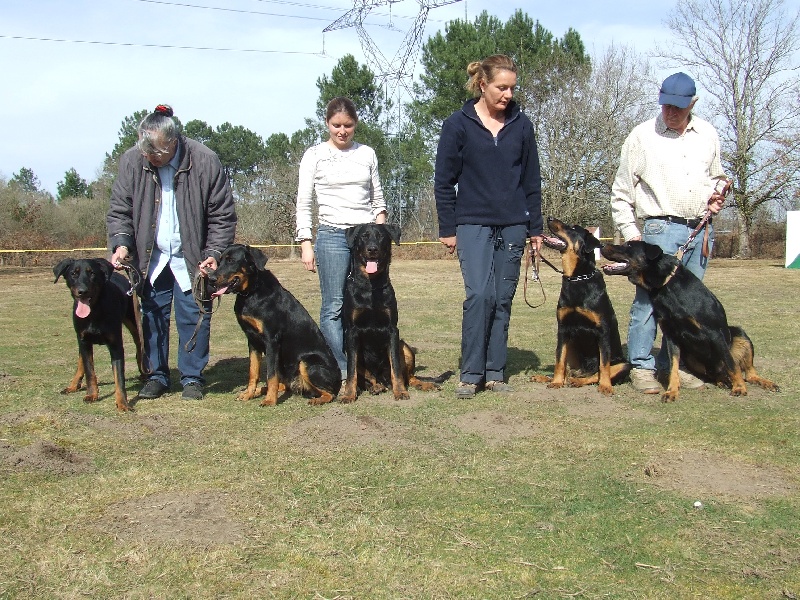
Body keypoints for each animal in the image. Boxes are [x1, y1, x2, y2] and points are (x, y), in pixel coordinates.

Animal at [53, 255, 145, 410]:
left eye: (92, 273)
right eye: (73, 274)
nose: (82, 291)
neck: (94, 312)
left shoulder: (115, 345)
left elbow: (119, 376)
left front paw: (123, 403)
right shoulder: (84, 340)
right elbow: (89, 371)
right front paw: (92, 394)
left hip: (133, 320)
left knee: (139, 344)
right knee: (81, 360)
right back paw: (73, 384)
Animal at [208, 245, 340, 408]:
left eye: (231, 260)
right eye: (219, 261)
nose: (211, 279)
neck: (251, 292)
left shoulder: (271, 340)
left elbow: (271, 374)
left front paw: (270, 400)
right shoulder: (252, 340)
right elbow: (253, 372)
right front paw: (249, 393)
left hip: (307, 362)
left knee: (330, 393)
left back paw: (317, 399)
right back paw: (260, 390)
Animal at [340, 225, 438, 404]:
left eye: (381, 237)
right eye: (364, 236)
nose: (372, 249)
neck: (371, 287)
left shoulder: (392, 330)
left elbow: (396, 368)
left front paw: (400, 392)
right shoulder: (351, 332)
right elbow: (351, 371)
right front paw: (349, 394)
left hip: (404, 346)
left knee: (409, 377)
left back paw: (424, 384)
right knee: (369, 377)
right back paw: (376, 387)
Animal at [532, 218, 632, 396]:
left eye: (572, 228)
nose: (549, 219)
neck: (577, 278)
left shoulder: (603, 330)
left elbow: (604, 365)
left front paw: (606, 386)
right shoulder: (563, 329)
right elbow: (559, 360)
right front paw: (556, 382)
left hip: (624, 364)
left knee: (595, 374)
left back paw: (578, 381)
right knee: (568, 370)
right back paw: (549, 378)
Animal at [604, 240, 780, 404]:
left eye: (628, 245)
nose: (603, 245)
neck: (665, 286)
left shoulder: (715, 333)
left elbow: (731, 364)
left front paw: (739, 388)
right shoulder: (671, 336)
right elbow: (674, 367)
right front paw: (672, 391)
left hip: (739, 334)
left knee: (747, 372)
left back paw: (763, 383)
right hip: (693, 359)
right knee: (719, 374)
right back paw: (722, 381)